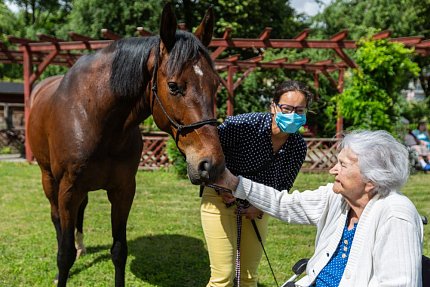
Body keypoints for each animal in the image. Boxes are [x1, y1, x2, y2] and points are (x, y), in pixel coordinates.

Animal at [26, 3, 225, 286]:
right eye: (173, 86)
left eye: (215, 84)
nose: (211, 164)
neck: (96, 119)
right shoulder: (68, 190)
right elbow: (64, 254)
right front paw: (62, 266)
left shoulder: (123, 190)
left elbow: (119, 250)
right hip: (48, 179)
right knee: (56, 221)